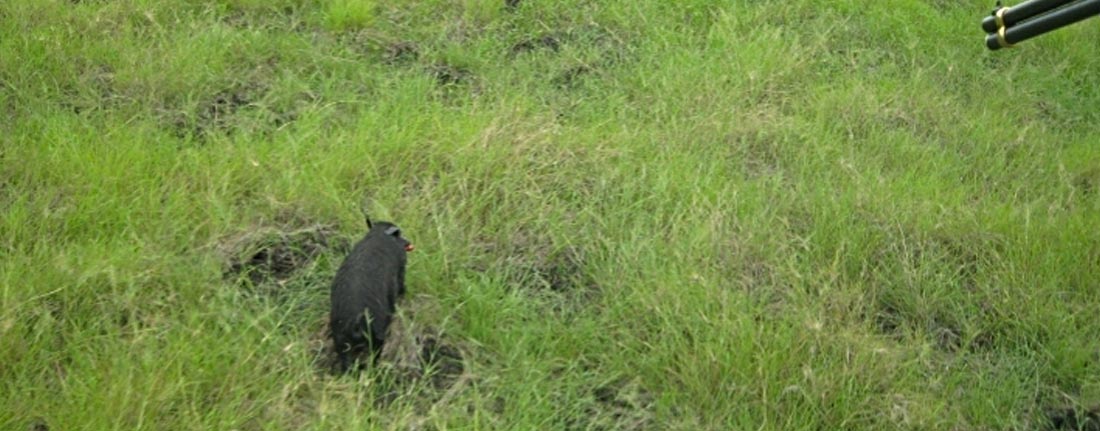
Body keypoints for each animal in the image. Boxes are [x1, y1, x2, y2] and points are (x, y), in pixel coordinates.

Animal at [327, 220, 413, 371]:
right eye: (398, 234)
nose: (408, 242)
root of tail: (355, 323)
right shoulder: (400, 270)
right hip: (377, 333)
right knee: (375, 354)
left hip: (339, 339)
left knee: (346, 360)